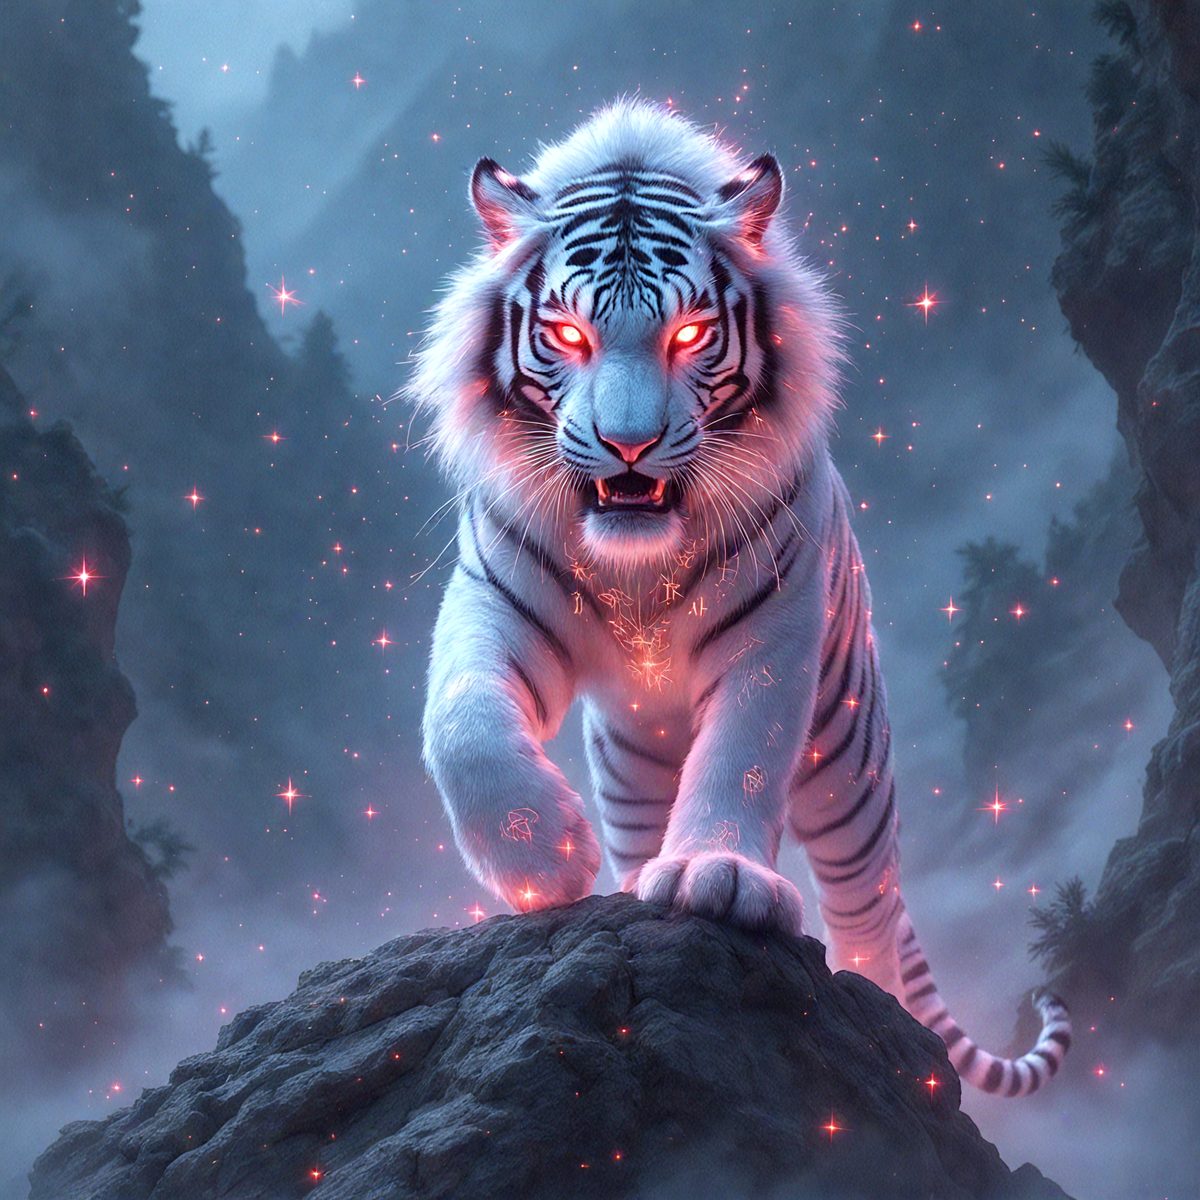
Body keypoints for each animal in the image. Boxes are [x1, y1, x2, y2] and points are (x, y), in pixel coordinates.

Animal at [405, 99, 1070, 1097]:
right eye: (568, 336)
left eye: (688, 335)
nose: (628, 446)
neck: (637, 560)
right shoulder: (493, 598)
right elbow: (461, 723)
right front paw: (544, 857)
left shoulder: (775, 625)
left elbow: (743, 750)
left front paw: (714, 875)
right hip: (630, 773)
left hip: (851, 771)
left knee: (869, 908)